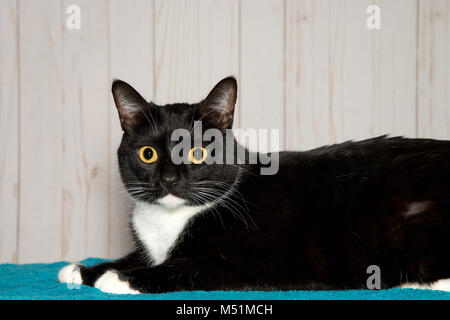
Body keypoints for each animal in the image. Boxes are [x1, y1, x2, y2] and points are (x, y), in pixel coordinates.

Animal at [59, 76, 450, 294]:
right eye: (148, 153)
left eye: (198, 151)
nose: (169, 179)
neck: (170, 222)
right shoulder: (149, 249)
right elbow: (133, 257)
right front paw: (84, 269)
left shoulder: (258, 262)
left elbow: (187, 266)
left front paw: (119, 279)